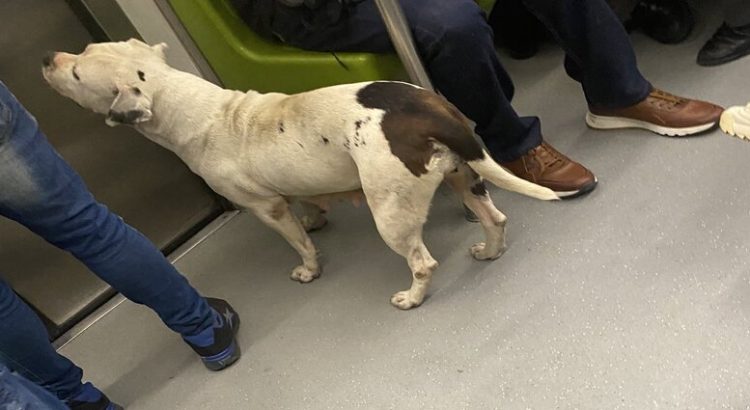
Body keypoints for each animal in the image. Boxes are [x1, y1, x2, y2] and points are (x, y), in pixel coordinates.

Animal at [42, 40, 560, 310]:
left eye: (78, 75)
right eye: (85, 48)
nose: (48, 59)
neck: (204, 113)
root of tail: (427, 106)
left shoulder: (266, 208)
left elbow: (301, 244)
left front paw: (309, 268)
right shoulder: (291, 189)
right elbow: (309, 205)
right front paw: (316, 218)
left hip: (392, 213)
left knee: (422, 262)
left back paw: (412, 297)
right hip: (463, 177)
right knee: (495, 219)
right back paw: (489, 252)